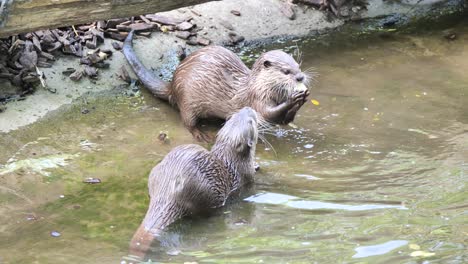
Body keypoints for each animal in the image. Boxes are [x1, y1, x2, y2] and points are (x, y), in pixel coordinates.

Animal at [122, 30, 308, 142]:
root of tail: (173, 84)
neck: (258, 86)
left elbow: (285, 120)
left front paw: (302, 99)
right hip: (188, 100)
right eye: (286, 71)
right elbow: (269, 114)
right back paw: (200, 134)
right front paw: (294, 99)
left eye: (298, 66)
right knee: (187, 121)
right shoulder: (257, 98)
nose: (300, 77)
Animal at [130, 106, 258, 256]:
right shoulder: (248, 177)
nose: (248, 108)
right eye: (251, 122)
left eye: (233, 116)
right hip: (206, 193)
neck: (232, 160)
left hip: (155, 172)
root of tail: (169, 190)